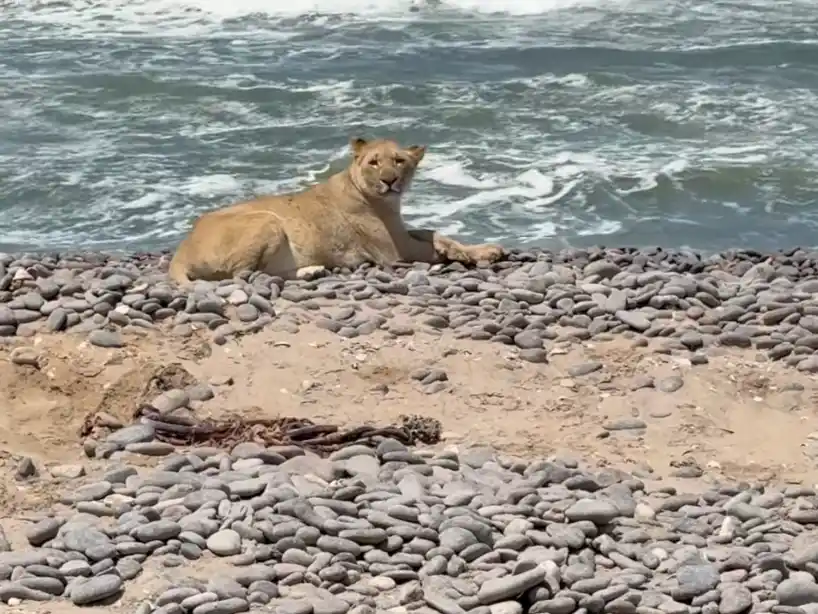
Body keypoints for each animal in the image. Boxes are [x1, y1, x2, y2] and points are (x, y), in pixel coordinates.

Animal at [167, 137, 506, 284]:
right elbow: (429, 243)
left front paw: (473, 249)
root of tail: (180, 251)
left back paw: (315, 269)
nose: (390, 181)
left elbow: (433, 231)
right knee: (245, 275)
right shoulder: (396, 250)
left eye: (399, 161)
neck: (386, 203)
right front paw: (472, 254)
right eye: (374, 162)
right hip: (266, 221)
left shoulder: (401, 232)